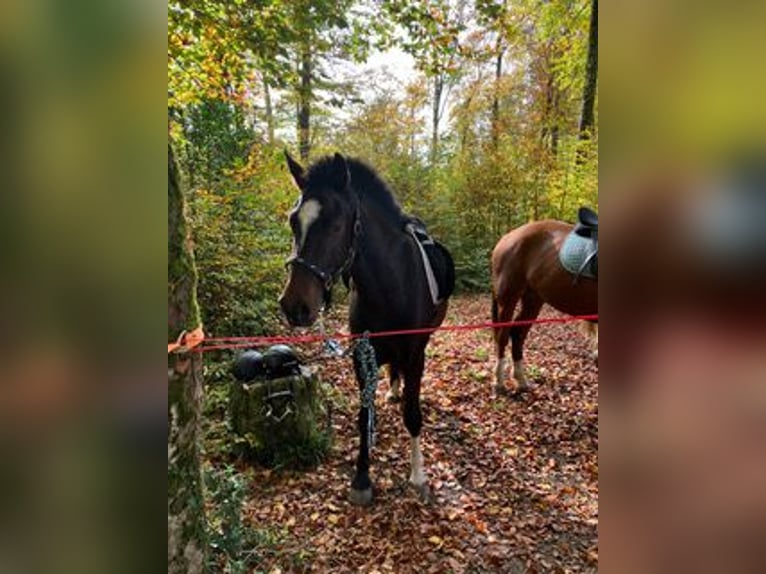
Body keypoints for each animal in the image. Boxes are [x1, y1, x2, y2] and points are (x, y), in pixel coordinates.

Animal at [280, 152, 452, 504]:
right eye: (293, 221)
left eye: (335, 224)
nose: (294, 306)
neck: (391, 284)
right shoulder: (362, 354)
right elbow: (363, 416)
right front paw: (361, 478)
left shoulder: (414, 354)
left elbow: (413, 414)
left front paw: (418, 476)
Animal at [492, 217, 600, 396]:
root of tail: (507, 237)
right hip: (508, 299)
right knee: (503, 336)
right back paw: (499, 382)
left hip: (533, 300)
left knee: (517, 333)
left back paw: (521, 381)